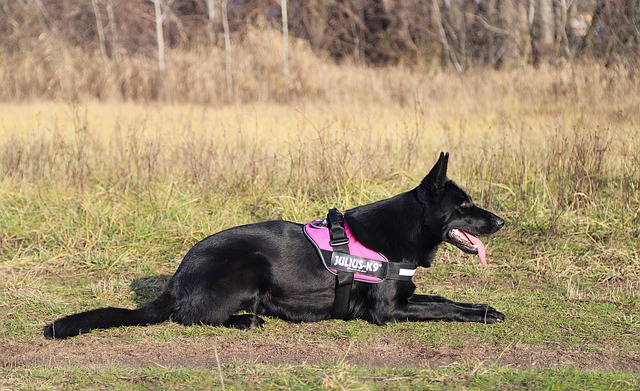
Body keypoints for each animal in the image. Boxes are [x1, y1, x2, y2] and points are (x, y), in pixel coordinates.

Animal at [43, 153, 504, 340]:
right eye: (463, 205)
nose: (502, 221)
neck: (405, 228)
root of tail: (177, 278)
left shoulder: (407, 296)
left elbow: (444, 299)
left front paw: (484, 307)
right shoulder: (388, 311)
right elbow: (443, 308)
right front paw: (483, 314)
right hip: (249, 266)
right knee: (190, 316)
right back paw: (245, 321)